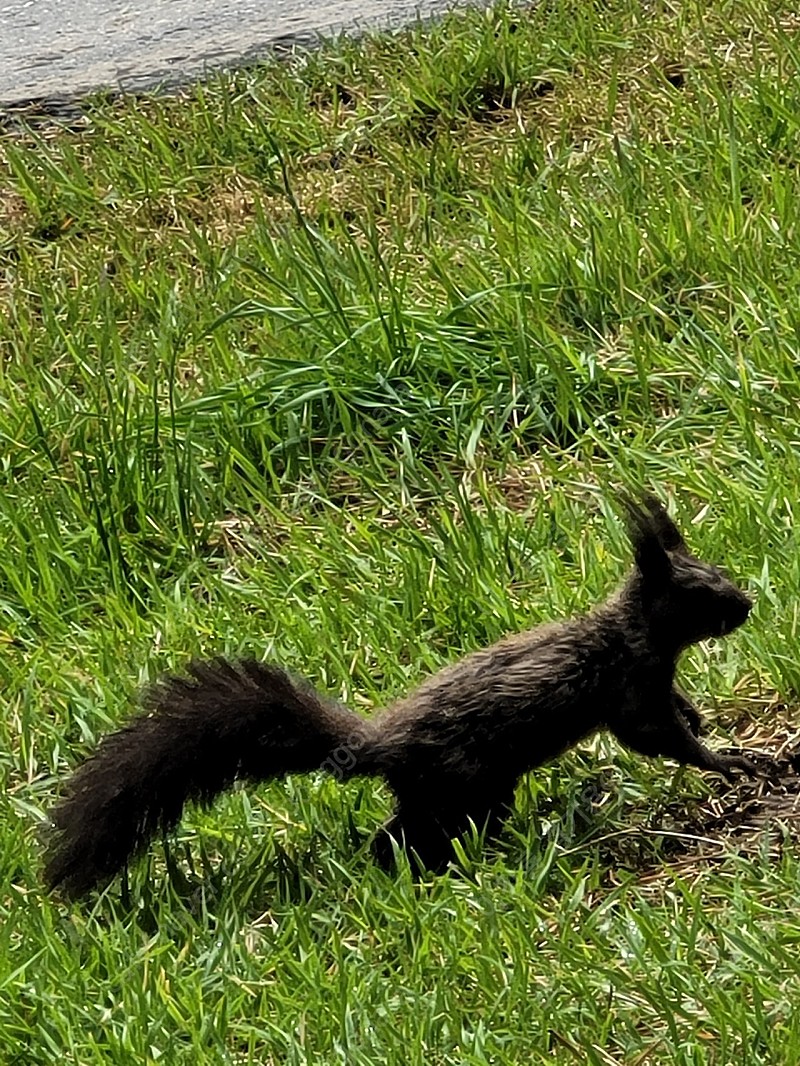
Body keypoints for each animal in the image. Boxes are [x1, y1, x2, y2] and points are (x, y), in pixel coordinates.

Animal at [42, 494, 759, 895]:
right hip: (461, 787)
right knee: (412, 834)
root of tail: (375, 748)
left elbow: (674, 716)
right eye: (700, 593)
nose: (747, 605)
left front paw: (706, 722)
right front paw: (730, 762)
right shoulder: (628, 684)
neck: (629, 631)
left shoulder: (651, 681)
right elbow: (654, 737)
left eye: (719, 569)